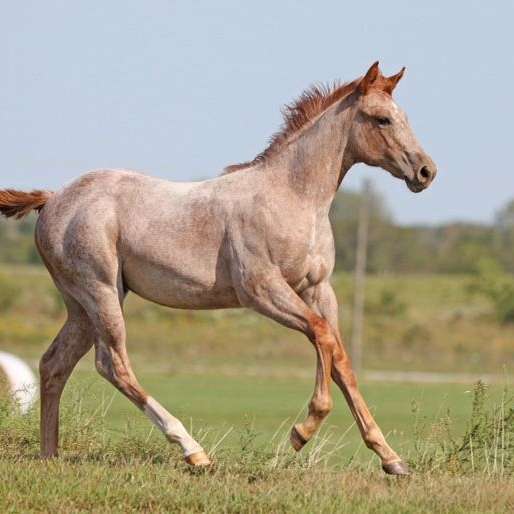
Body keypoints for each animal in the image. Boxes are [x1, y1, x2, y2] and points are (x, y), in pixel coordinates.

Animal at [0, 62, 434, 474]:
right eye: (382, 119)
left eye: (403, 116)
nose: (427, 172)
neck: (293, 197)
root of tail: (54, 199)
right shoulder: (261, 290)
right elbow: (322, 335)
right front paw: (301, 433)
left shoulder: (318, 289)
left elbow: (341, 360)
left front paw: (391, 459)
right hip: (100, 292)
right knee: (112, 364)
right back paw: (194, 452)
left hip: (82, 305)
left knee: (54, 363)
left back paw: (50, 456)